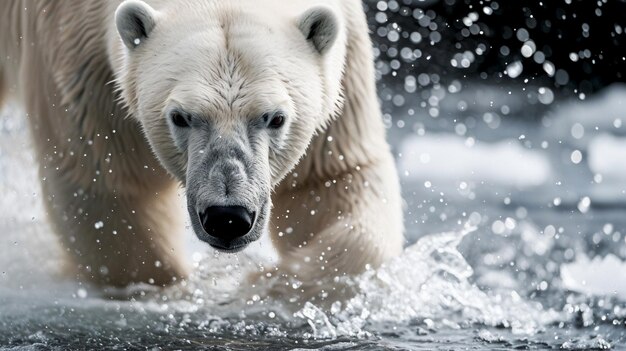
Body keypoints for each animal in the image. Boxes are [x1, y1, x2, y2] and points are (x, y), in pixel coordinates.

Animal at [0, 0, 402, 292]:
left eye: (275, 118)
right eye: (181, 117)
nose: (228, 217)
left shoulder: (342, 73)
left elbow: (330, 180)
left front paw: (265, 284)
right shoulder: (84, 70)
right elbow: (109, 187)